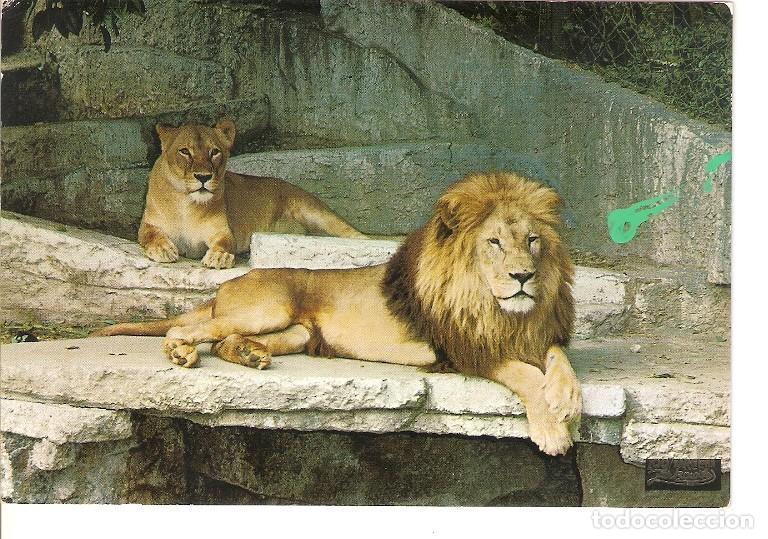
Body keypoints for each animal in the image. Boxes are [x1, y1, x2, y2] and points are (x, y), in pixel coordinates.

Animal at [94, 172, 581, 455]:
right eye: (494, 242)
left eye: (533, 240)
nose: (523, 276)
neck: (504, 311)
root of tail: (228, 283)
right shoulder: (466, 349)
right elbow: (525, 376)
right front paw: (553, 431)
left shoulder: (538, 337)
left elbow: (558, 359)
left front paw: (568, 398)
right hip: (267, 308)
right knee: (189, 329)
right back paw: (180, 352)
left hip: (293, 332)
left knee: (225, 341)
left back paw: (250, 355)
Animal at [139, 119, 365, 269]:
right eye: (185, 151)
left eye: (215, 152)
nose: (203, 177)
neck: (186, 204)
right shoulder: (148, 225)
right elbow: (151, 236)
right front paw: (162, 249)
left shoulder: (222, 231)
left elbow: (225, 243)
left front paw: (219, 257)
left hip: (314, 210)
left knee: (353, 233)